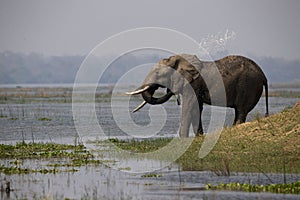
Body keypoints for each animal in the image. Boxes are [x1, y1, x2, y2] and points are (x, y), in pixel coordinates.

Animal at [126, 53, 270, 138]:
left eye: (157, 73)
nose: (170, 91)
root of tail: (264, 75)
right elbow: (196, 108)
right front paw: (199, 137)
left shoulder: (192, 84)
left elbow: (188, 106)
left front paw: (183, 138)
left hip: (249, 86)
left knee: (241, 111)